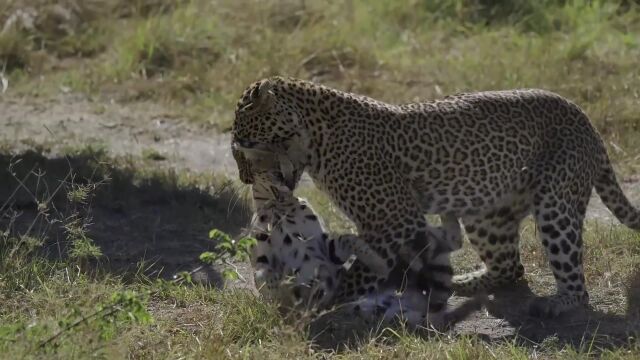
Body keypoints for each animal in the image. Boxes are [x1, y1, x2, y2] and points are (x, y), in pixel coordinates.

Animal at [230, 76, 640, 318]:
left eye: (243, 143)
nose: (243, 177)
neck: (315, 138)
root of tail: (587, 122)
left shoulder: (394, 219)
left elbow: (359, 270)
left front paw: (337, 298)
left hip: (557, 205)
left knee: (575, 283)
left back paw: (558, 305)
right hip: (486, 216)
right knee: (510, 267)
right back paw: (464, 282)